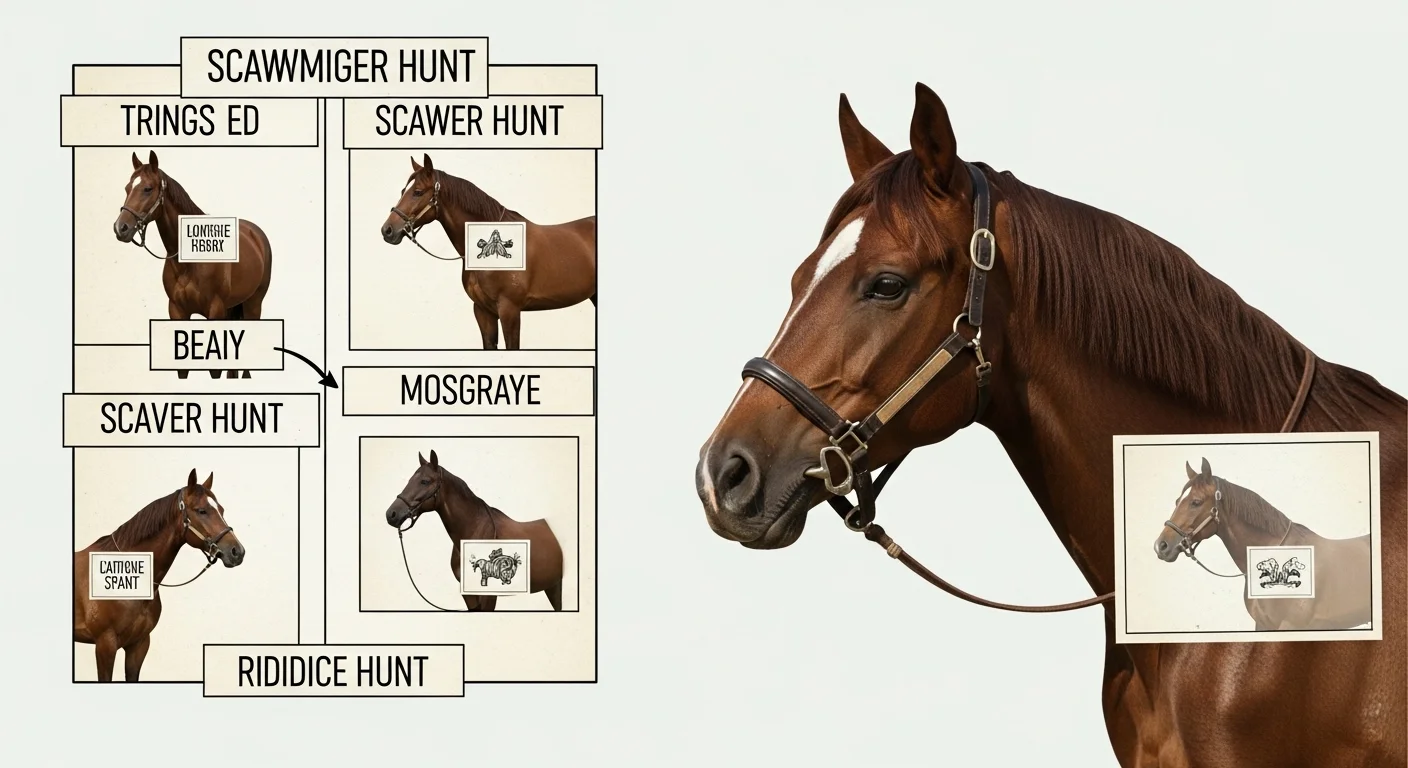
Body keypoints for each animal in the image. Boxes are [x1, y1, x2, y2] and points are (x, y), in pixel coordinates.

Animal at [112, 151, 274, 379]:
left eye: (147, 188)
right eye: (127, 188)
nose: (121, 228)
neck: (191, 262)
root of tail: (256, 234)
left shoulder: (215, 312)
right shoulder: (177, 311)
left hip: (253, 304)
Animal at [384, 449, 564, 610]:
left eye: (425, 481)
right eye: (409, 480)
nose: (391, 514)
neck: (473, 535)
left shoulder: (488, 595)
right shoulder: (469, 595)